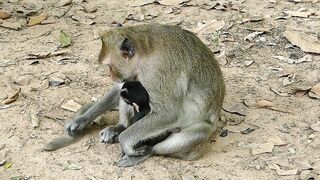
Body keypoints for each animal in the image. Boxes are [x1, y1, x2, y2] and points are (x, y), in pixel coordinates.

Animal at [65, 23, 225, 166]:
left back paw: (147, 151)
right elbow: (121, 87)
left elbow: (168, 114)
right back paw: (120, 127)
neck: (144, 53)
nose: (109, 74)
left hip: (204, 128)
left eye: (109, 66)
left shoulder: (157, 71)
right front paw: (82, 119)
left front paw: (125, 142)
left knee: (195, 134)